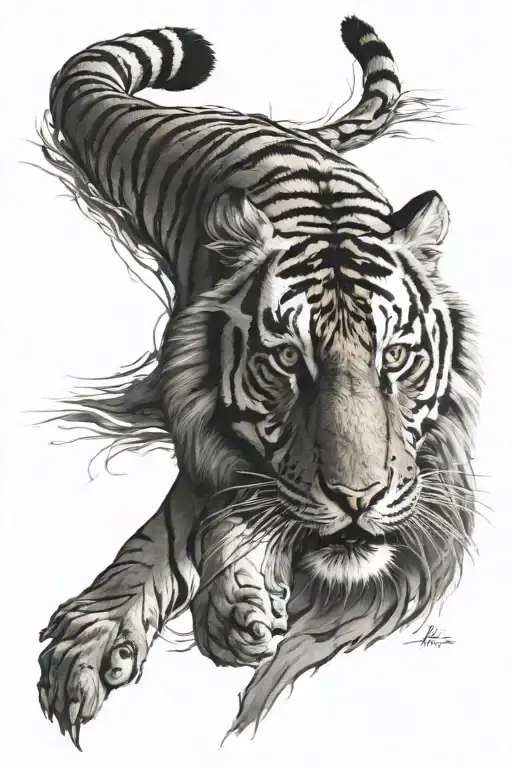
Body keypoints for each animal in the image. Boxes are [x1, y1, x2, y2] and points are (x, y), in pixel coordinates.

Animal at [35, 14, 482, 750]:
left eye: (394, 358)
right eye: (288, 363)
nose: (357, 500)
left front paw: (234, 607)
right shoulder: (205, 436)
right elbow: (177, 526)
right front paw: (97, 647)